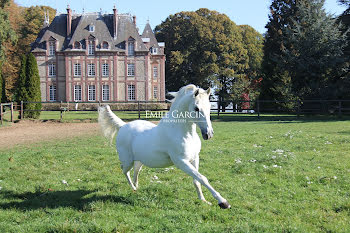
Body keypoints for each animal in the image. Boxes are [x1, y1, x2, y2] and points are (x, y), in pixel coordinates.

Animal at [97, 84, 231, 208]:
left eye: (209, 107)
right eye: (196, 108)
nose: (209, 134)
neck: (183, 133)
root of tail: (123, 126)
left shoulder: (194, 158)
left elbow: (197, 180)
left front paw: (203, 200)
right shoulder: (181, 161)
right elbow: (202, 178)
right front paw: (223, 202)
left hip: (140, 160)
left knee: (136, 171)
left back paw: (136, 187)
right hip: (127, 160)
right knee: (125, 171)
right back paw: (133, 188)